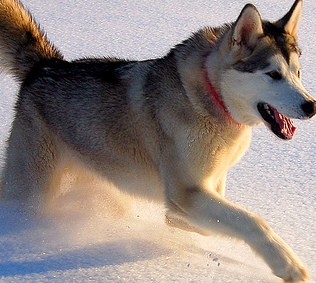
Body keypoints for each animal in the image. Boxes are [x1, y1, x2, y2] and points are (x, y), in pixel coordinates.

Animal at [0, 1, 316, 282]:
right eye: (273, 74)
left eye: (298, 73)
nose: (311, 106)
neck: (213, 98)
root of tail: (45, 65)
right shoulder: (187, 192)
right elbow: (252, 222)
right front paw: (288, 265)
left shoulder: (206, 184)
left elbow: (202, 221)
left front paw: (175, 222)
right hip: (31, 189)